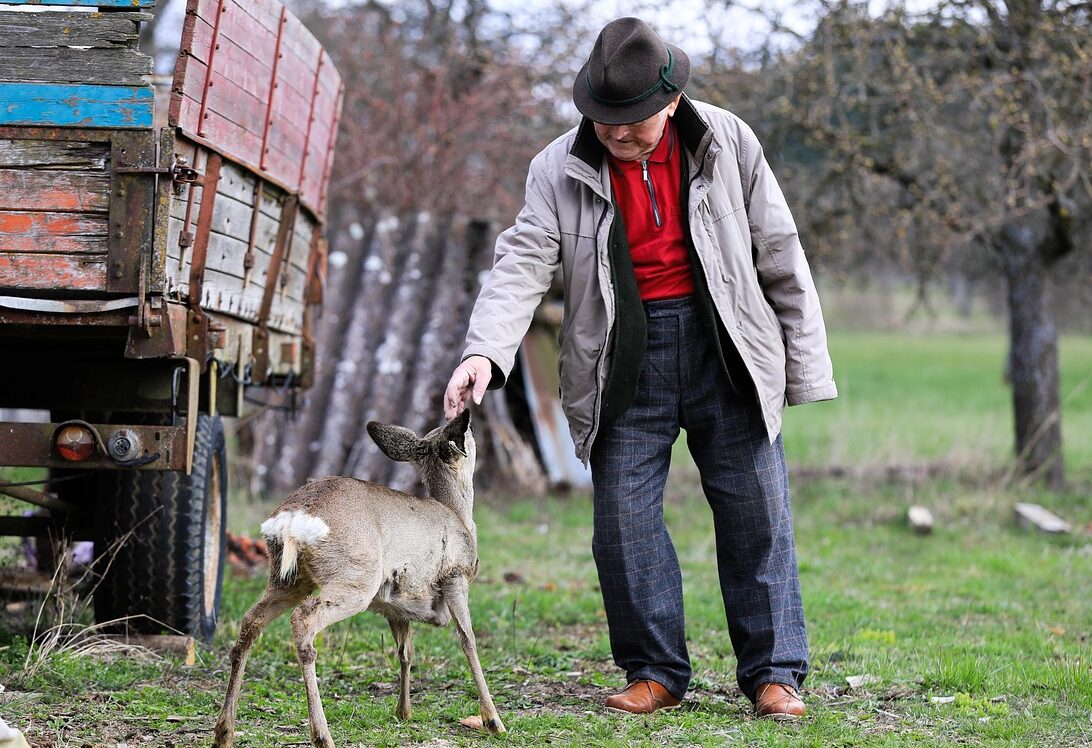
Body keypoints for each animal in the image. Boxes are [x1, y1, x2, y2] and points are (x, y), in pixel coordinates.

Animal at [212, 410, 505, 748]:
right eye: (468, 433)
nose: (469, 421)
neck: (459, 518)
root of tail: (294, 517)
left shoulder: (396, 604)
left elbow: (405, 651)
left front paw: (404, 712)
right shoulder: (455, 575)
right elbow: (468, 641)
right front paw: (493, 720)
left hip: (287, 578)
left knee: (251, 621)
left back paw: (224, 731)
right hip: (356, 577)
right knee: (303, 619)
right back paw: (322, 735)